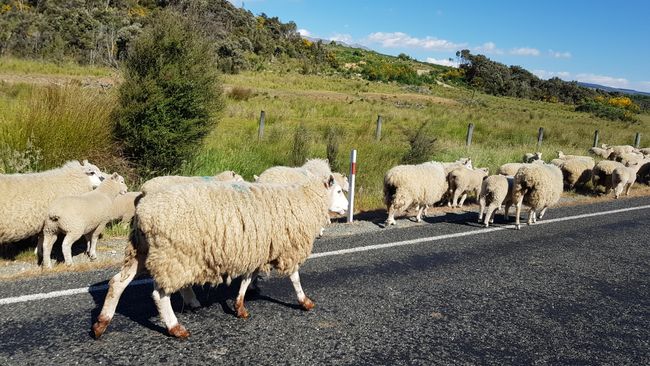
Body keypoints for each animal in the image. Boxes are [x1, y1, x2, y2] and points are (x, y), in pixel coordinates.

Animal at [90, 176, 350, 338]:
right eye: (338, 191)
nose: (347, 208)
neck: (305, 199)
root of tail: (143, 211)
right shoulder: (287, 247)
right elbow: (294, 277)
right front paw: (305, 301)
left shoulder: (254, 249)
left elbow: (246, 278)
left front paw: (240, 306)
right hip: (174, 254)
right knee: (160, 295)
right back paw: (175, 327)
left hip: (142, 252)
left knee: (117, 283)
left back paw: (101, 324)